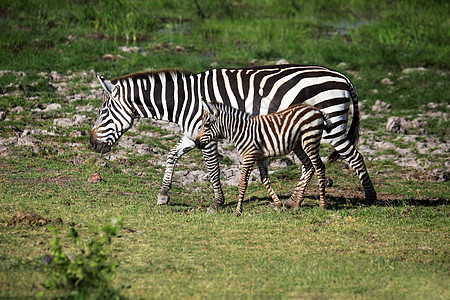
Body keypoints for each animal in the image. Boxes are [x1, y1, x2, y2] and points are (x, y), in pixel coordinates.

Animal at [195, 100, 332, 216]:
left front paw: (238, 211)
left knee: (319, 167)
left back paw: (322, 204)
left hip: (310, 140)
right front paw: (278, 203)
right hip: (298, 145)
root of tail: (316, 110)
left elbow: (243, 183)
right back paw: (297, 203)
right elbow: (264, 179)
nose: (196, 143)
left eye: (206, 125)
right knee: (309, 166)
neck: (241, 132)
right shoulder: (260, 157)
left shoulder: (249, 156)